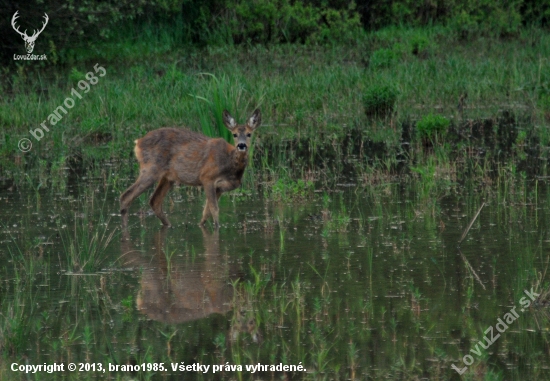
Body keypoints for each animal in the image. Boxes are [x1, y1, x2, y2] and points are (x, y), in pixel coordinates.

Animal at [119, 108, 262, 227]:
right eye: (234, 134)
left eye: (249, 134)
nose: (241, 145)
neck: (230, 165)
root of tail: (138, 142)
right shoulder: (207, 177)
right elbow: (214, 209)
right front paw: (217, 228)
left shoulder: (220, 187)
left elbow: (206, 211)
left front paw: (201, 226)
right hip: (150, 169)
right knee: (126, 196)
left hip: (167, 177)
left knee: (155, 201)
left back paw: (168, 225)